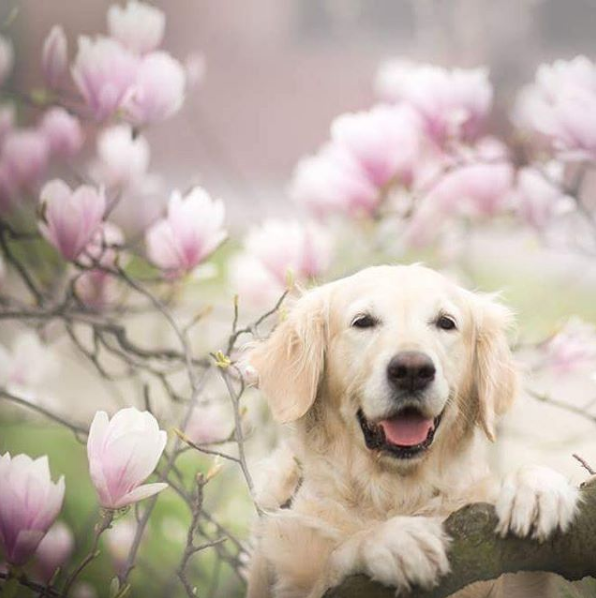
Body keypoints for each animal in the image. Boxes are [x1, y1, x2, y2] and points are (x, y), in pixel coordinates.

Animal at [244, 268, 580, 598]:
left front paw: (537, 489)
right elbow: (337, 555)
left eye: (446, 323)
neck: (394, 492)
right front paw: (389, 540)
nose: (412, 371)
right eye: (363, 321)